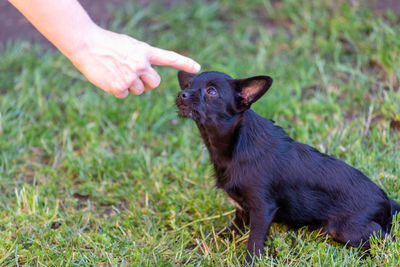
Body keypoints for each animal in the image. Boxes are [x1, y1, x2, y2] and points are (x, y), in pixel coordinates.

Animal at [176, 70, 400, 264]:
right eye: (187, 85)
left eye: (211, 91)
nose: (181, 94)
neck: (234, 144)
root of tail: (386, 201)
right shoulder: (242, 208)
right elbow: (235, 227)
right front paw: (218, 240)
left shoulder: (262, 208)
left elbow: (254, 240)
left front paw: (251, 262)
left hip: (345, 228)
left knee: (384, 239)